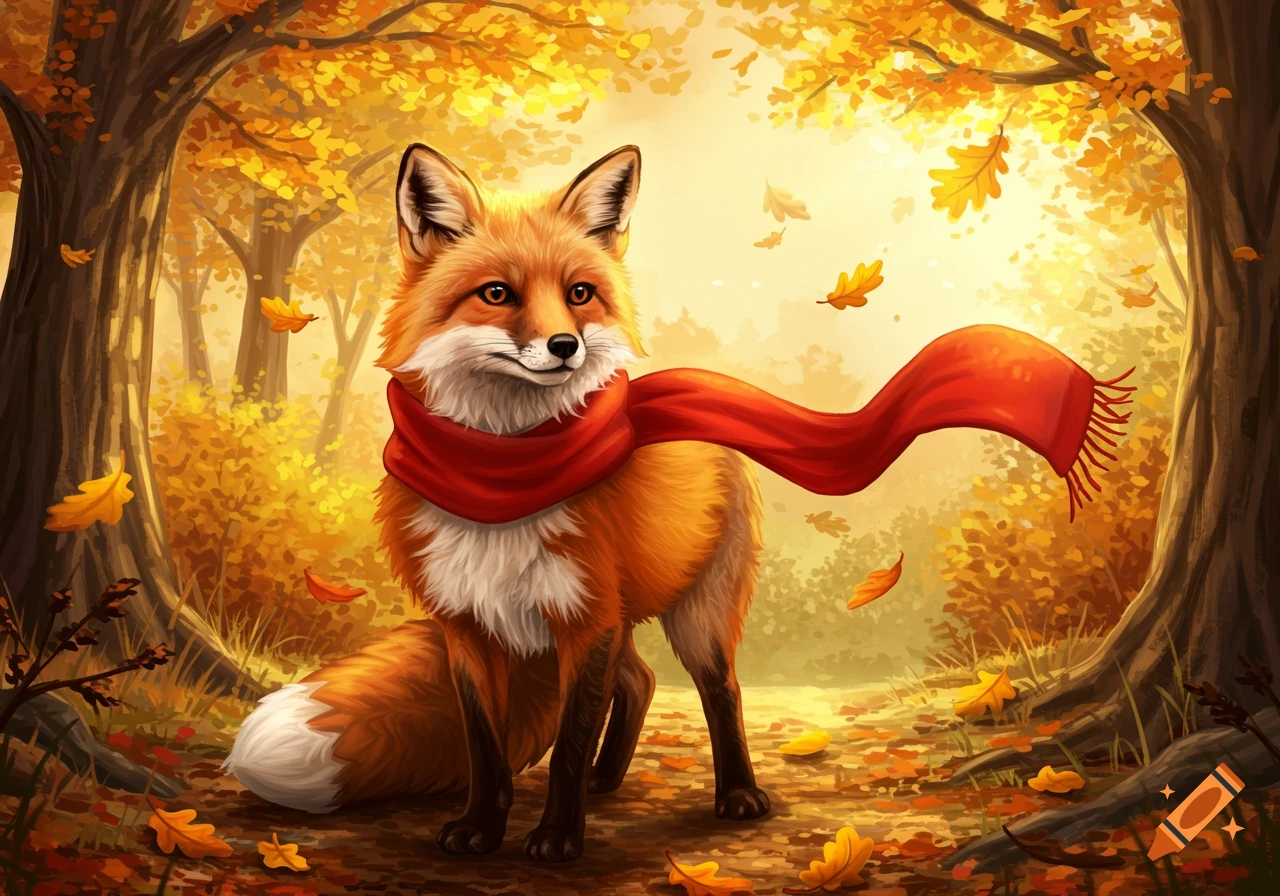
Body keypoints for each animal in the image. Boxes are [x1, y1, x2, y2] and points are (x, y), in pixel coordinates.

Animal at [225, 143, 768, 862]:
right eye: (497, 294)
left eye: (579, 294)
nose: (565, 347)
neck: (500, 477)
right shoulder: (471, 625)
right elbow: (485, 747)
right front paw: (480, 828)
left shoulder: (584, 621)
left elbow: (567, 745)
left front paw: (558, 836)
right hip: (621, 619)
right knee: (642, 681)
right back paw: (607, 779)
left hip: (695, 616)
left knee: (720, 689)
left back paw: (737, 794)